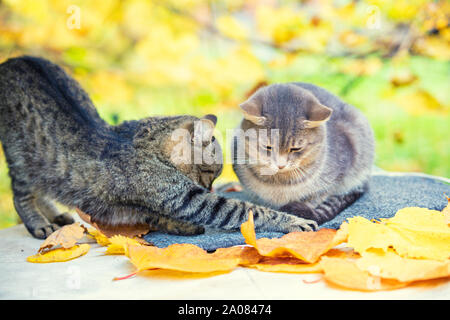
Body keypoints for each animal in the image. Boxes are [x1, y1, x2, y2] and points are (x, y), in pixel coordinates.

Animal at [0, 56, 316, 239]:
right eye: (209, 173)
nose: (210, 187)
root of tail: (14, 59)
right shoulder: (190, 199)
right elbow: (245, 210)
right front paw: (293, 221)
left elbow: (149, 215)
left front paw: (176, 225)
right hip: (22, 158)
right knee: (22, 194)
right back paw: (39, 223)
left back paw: (54, 214)